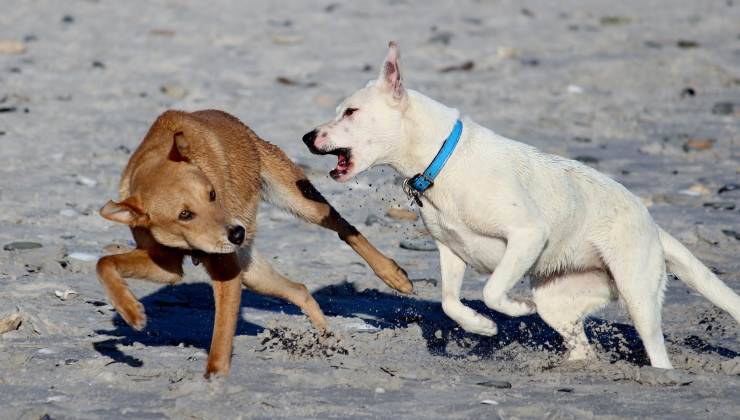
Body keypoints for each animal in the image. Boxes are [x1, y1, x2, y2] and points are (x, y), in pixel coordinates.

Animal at [95, 109, 414, 378]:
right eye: (184, 214)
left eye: (212, 194)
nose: (238, 233)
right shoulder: (167, 266)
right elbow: (104, 263)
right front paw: (131, 311)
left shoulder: (226, 272)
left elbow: (221, 338)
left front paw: (214, 382)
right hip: (253, 274)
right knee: (300, 290)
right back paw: (327, 338)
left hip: (301, 201)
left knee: (345, 228)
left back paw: (393, 275)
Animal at [302, 40, 740, 368]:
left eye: (351, 111)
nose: (306, 136)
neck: (441, 160)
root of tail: (653, 224)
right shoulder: (450, 251)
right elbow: (449, 302)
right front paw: (481, 327)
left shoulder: (527, 235)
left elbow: (494, 290)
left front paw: (514, 310)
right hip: (559, 302)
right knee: (580, 346)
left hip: (638, 296)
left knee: (656, 350)